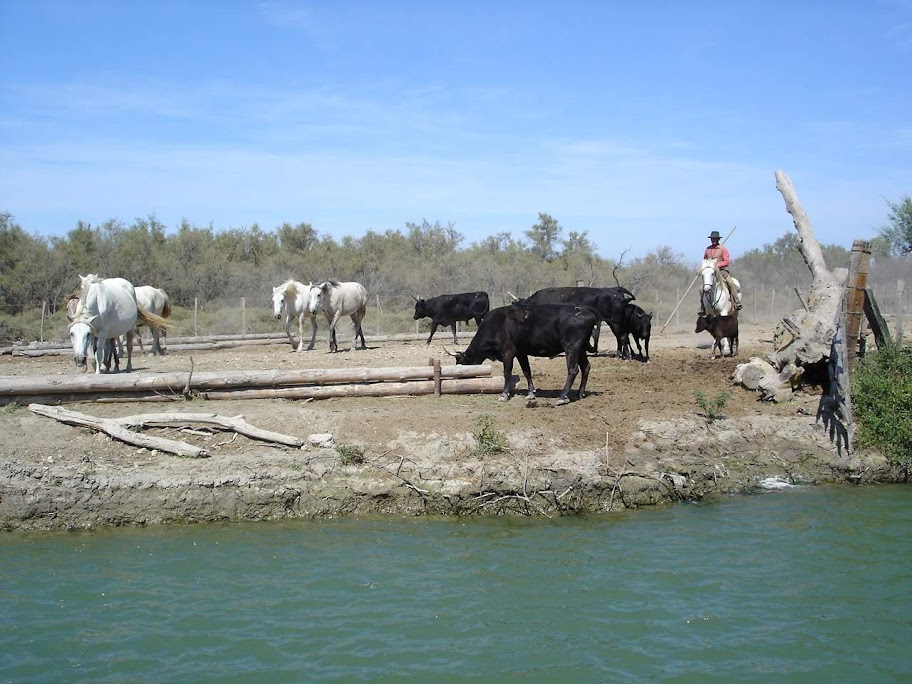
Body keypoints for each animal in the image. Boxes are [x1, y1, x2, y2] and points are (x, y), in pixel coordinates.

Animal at [448, 304, 600, 406]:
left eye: (462, 364)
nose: (457, 380)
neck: (496, 324)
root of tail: (587, 312)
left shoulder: (508, 352)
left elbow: (507, 373)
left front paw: (504, 394)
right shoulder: (521, 353)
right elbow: (527, 371)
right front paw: (531, 393)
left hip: (572, 348)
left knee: (573, 370)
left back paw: (562, 397)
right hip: (581, 349)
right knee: (586, 367)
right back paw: (580, 393)